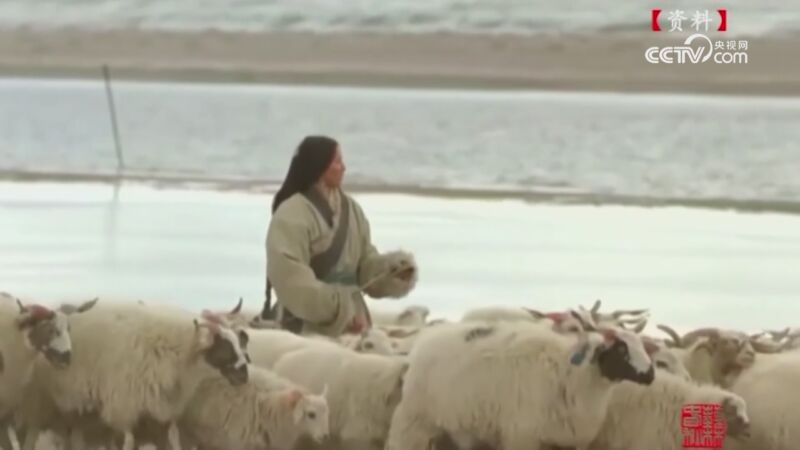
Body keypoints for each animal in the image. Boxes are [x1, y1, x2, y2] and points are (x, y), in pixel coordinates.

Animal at [20, 301, 250, 450]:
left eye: (238, 342)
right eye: (224, 346)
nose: (244, 376)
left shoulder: (158, 410)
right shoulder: (122, 407)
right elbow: (124, 442)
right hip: (37, 405)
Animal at [384, 310, 656, 450]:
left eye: (641, 344)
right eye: (620, 348)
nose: (650, 374)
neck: (573, 376)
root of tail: (424, 342)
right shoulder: (523, 436)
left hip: (456, 428)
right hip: (415, 420)